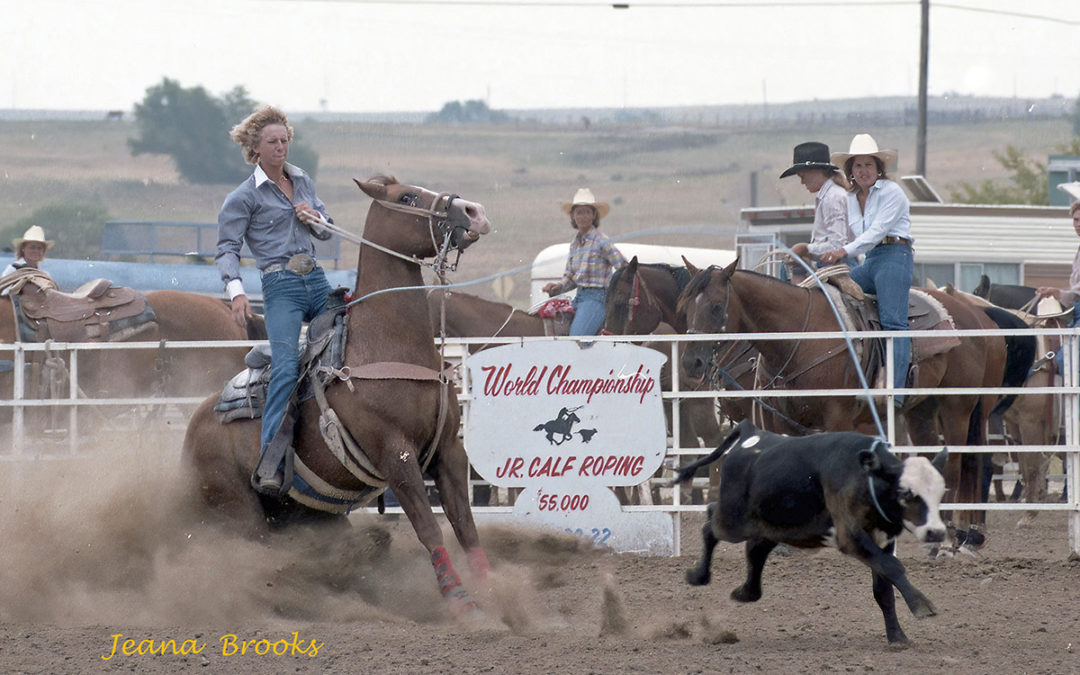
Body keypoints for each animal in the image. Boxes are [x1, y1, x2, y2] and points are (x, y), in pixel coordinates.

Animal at [182, 174, 494, 617]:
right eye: (407, 197)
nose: (473, 212)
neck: (389, 346)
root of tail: (194, 425)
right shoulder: (395, 455)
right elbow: (429, 528)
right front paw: (461, 600)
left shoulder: (448, 450)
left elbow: (466, 528)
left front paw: (495, 592)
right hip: (238, 510)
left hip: (309, 513)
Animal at [678, 260, 1006, 544]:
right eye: (685, 307)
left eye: (716, 306)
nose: (691, 363)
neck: (801, 337)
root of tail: (976, 315)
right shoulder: (784, 421)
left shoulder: (836, 418)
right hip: (923, 410)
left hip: (959, 406)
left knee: (962, 461)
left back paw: (954, 533)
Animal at [678, 419, 950, 643]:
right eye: (906, 493)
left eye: (940, 492)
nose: (936, 532)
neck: (866, 477)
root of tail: (752, 433)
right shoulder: (850, 536)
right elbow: (894, 567)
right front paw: (921, 605)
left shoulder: (882, 540)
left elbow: (884, 589)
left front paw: (897, 637)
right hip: (732, 521)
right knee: (710, 523)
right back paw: (698, 575)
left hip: (774, 528)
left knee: (755, 550)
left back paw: (745, 592)